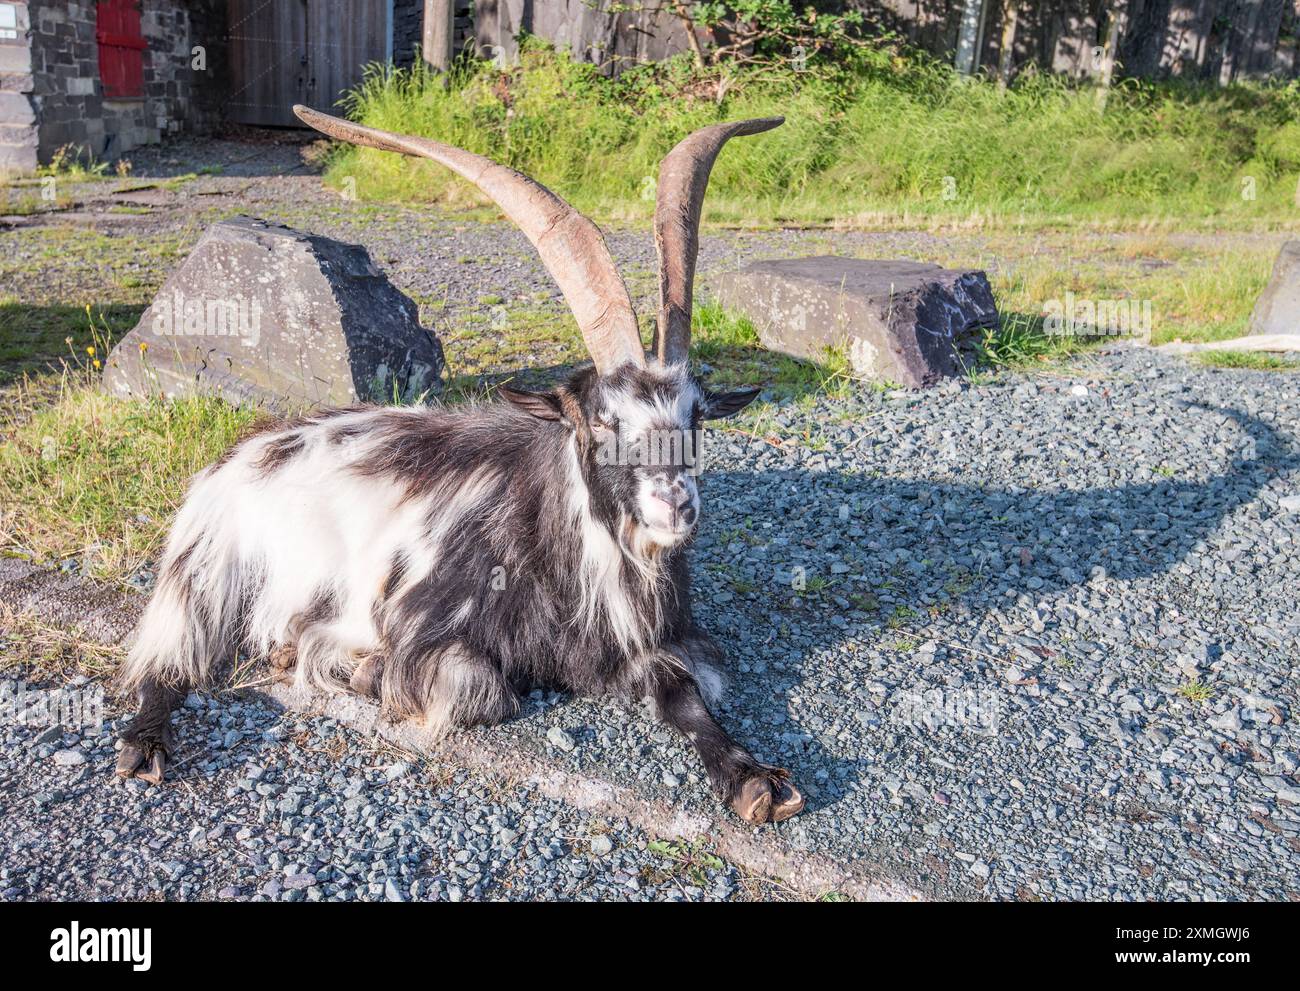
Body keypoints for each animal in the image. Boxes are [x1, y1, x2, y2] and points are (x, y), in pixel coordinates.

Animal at [116, 104, 800, 821]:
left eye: (696, 415)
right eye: (600, 419)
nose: (676, 504)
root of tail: (247, 448)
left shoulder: (647, 643)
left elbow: (686, 690)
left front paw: (754, 778)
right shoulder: (423, 625)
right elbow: (481, 690)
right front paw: (360, 668)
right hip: (207, 569)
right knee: (168, 659)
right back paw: (148, 742)